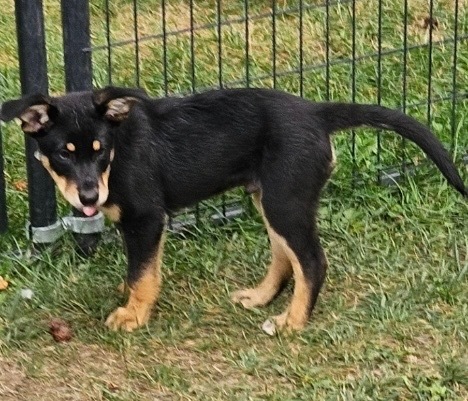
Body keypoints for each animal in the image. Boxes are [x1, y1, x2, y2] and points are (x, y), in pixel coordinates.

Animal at [0, 87, 466, 332]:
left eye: (99, 151)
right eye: (63, 154)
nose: (90, 199)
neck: (119, 153)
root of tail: (317, 113)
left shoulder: (147, 218)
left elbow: (142, 274)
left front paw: (133, 315)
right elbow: (143, 270)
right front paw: (132, 300)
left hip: (285, 199)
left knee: (312, 262)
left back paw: (291, 322)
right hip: (271, 197)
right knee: (285, 257)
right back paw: (261, 297)